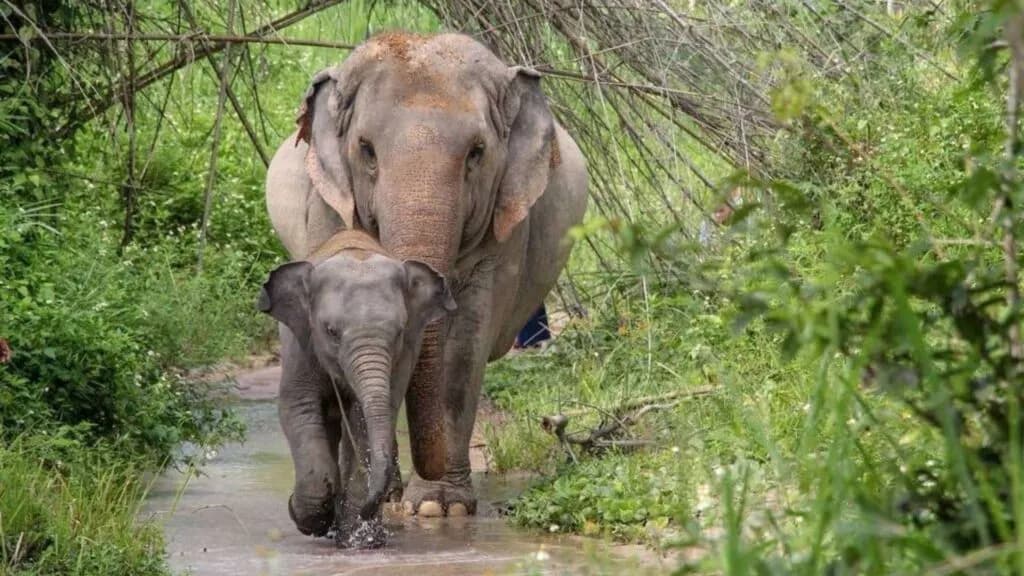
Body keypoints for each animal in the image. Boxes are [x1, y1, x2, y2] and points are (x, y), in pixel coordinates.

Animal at [257, 229, 456, 545]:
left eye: (399, 331)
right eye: (331, 331)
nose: (377, 505)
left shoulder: (405, 351)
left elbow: (367, 418)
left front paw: (360, 539)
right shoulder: (299, 345)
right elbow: (297, 408)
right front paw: (308, 521)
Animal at [265, 31, 588, 517]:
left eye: (477, 153)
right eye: (366, 149)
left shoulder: (504, 231)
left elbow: (463, 344)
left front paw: (440, 506)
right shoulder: (325, 204)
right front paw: (385, 499)